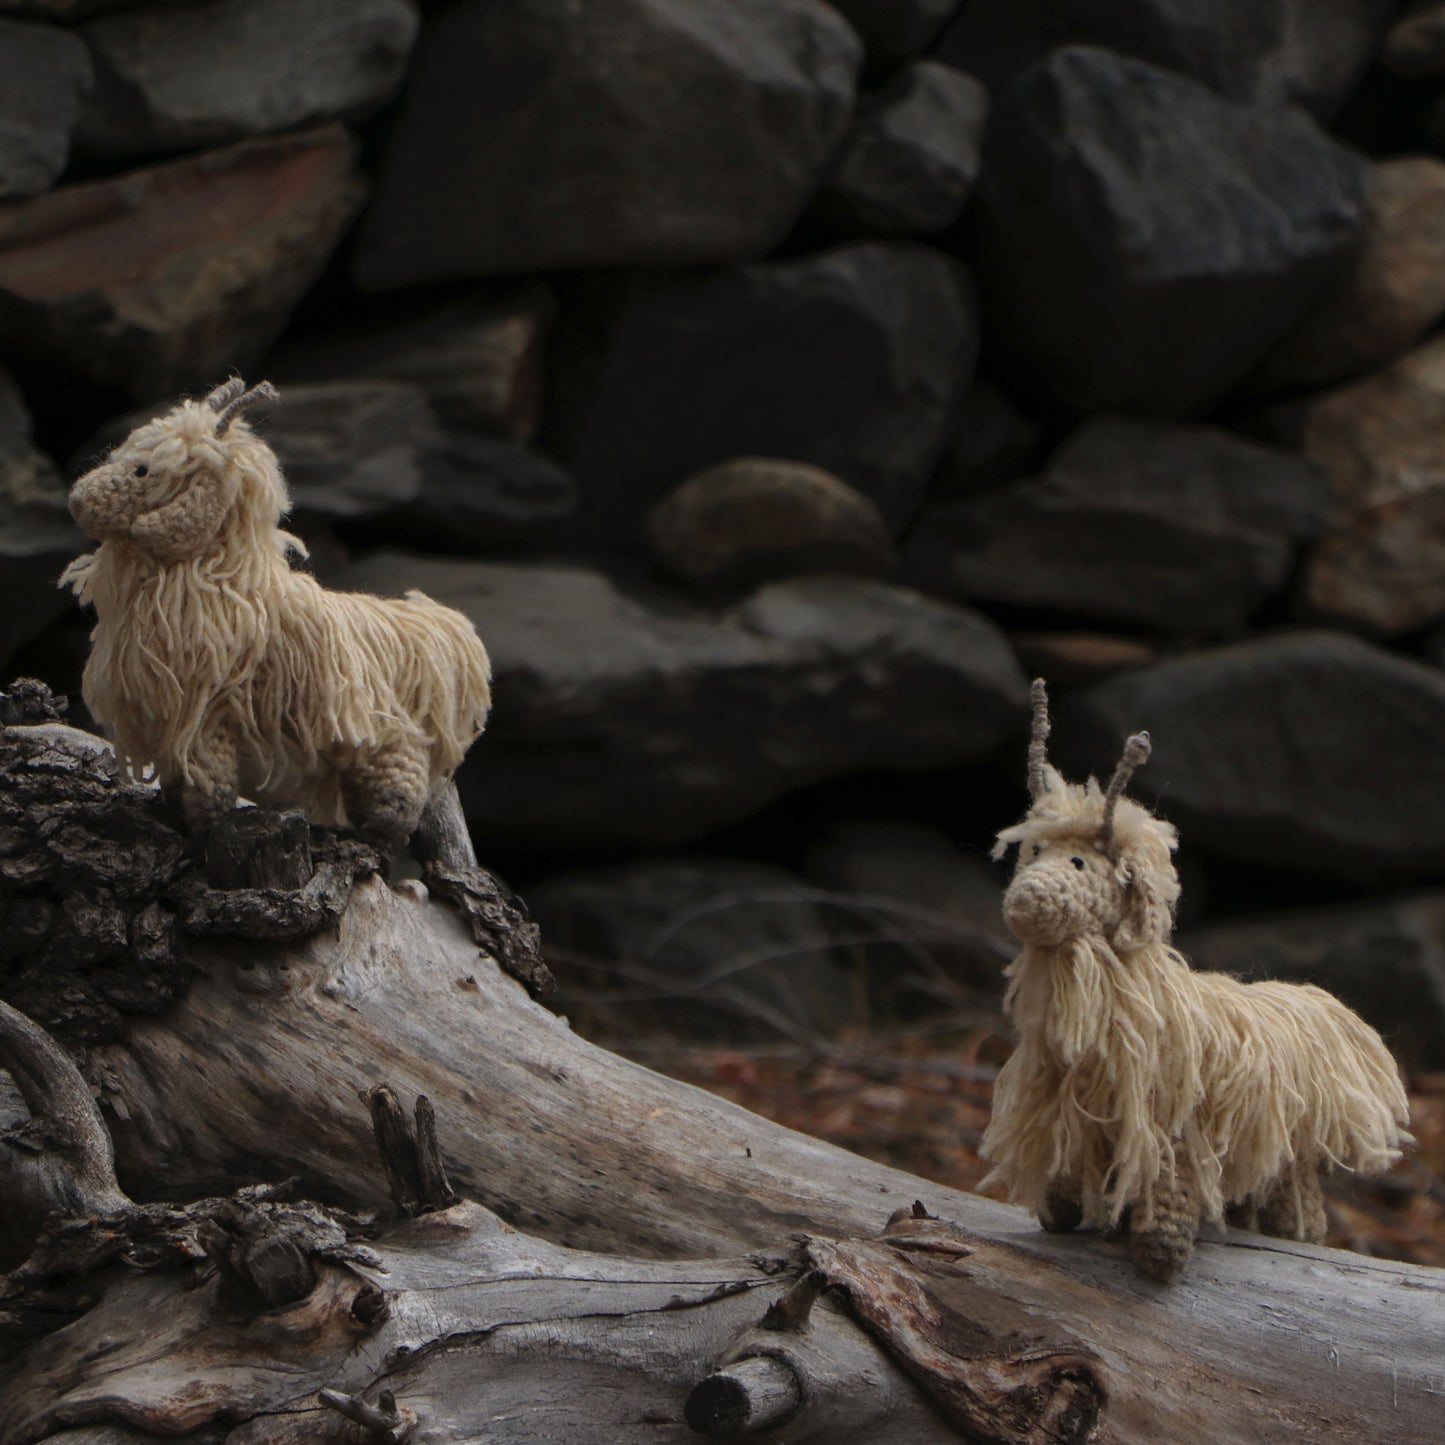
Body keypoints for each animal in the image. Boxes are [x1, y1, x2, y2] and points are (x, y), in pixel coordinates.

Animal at [62, 378, 494, 849]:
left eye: (143, 470)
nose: (78, 499)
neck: (227, 579)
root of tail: (447, 627)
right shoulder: (170, 720)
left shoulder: (207, 716)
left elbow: (208, 780)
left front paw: (203, 827)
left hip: (396, 742)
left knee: (398, 801)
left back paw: (377, 839)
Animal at [982, 682, 1410, 1283]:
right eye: (1035, 851)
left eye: (1081, 863)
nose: (1025, 901)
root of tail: (1320, 1001)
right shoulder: (1080, 1115)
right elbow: (1071, 1164)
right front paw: (1060, 1211)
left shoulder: (1173, 1130)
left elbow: (1166, 1188)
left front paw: (1160, 1253)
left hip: (1291, 1145)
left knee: (1295, 1193)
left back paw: (1293, 1235)